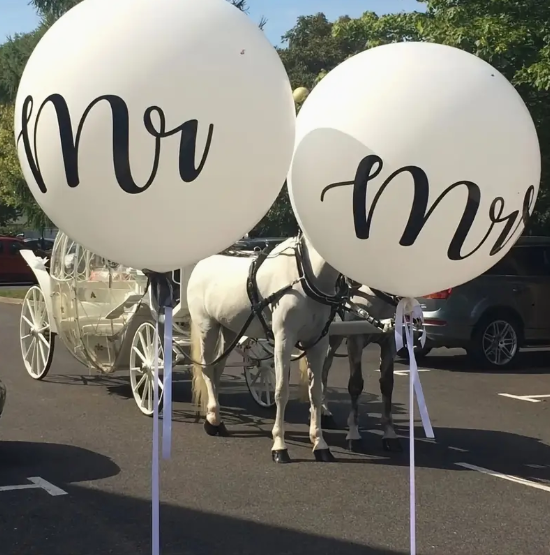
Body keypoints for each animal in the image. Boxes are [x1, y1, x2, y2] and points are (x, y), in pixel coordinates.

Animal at [188, 235, 348, 464]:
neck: (305, 276)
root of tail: (201, 264)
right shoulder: (283, 339)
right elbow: (281, 392)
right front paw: (279, 446)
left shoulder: (318, 342)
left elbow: (316, 392)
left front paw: (320, 444)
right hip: (207, 327)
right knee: (207, 369)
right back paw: (213, 422)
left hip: (229, 329)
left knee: (217, 368)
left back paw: (215, 417)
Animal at [320, 288, 402, 454]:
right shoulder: (355, 339)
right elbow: (356, 385)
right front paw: (354, 434)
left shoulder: (390, 341)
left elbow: (387, 385)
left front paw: (390, 434)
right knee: (321, 370)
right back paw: (323, 411)